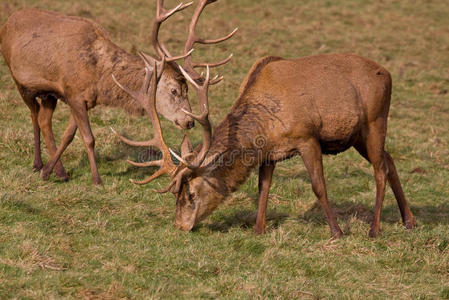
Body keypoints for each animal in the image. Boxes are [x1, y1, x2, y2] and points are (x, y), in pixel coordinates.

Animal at [0, 0, 236, 185]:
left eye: (187, 88)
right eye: (174, 90)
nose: (189, 121)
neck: (99, 77)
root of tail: (7, 21)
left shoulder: (82, 99)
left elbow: (69, 135)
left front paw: (51, 172)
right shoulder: (73, 93)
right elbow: (88, 138)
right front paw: (96, 180)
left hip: (49, 94)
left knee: (44, 120)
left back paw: (56, 170)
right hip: (19, 80)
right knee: (34, 116)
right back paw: (36, 163)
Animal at [116, 52, 416, 239]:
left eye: (190, 193)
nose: (179, 225)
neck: (263, 125)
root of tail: (388, 74)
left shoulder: (307, 138)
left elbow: (318, 186)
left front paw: (337, 232)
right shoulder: (269, 153)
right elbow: (263, 188)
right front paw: (258, 229)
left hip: (375, 120)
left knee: (380, 170)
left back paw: (375, 230)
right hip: (357, 137)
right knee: (390, 161)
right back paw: (409, 221)